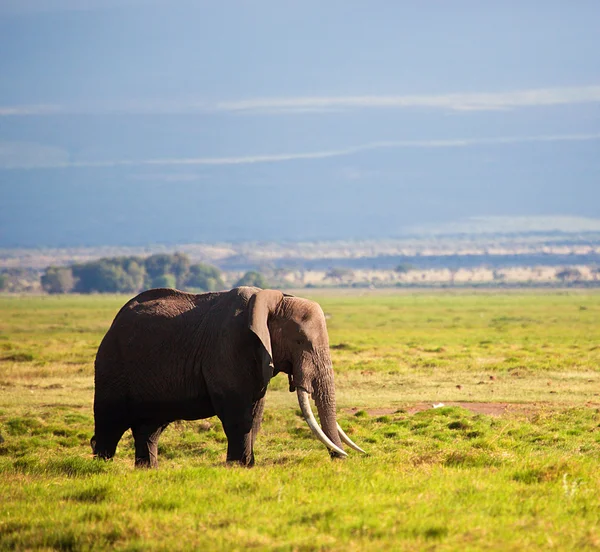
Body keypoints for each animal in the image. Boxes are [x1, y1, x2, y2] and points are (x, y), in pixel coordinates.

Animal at [88, 286, 360, 468]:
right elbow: (236, 412)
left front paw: (247, 466)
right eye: (301, 341)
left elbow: (255, 413)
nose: (340, 460)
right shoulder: (227, 346)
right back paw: (102, 467)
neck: (273, 301)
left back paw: (148, 470)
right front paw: (237, 466)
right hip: (111, 364)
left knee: (150, 428)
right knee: (110, 422)